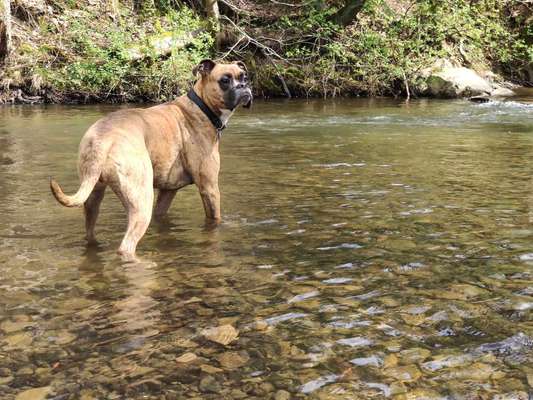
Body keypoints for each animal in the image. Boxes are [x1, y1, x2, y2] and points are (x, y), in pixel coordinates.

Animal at [49, 59, 251, 260]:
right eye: (225, 80)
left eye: (244, 76)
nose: (244, 86)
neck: (201, 107)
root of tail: (104, 138)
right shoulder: (209, 189)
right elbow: (215, 219)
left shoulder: (168, 191)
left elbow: (160, 214)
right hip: (141, 201)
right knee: (126, 246)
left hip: (93, 197)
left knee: (90, 231)